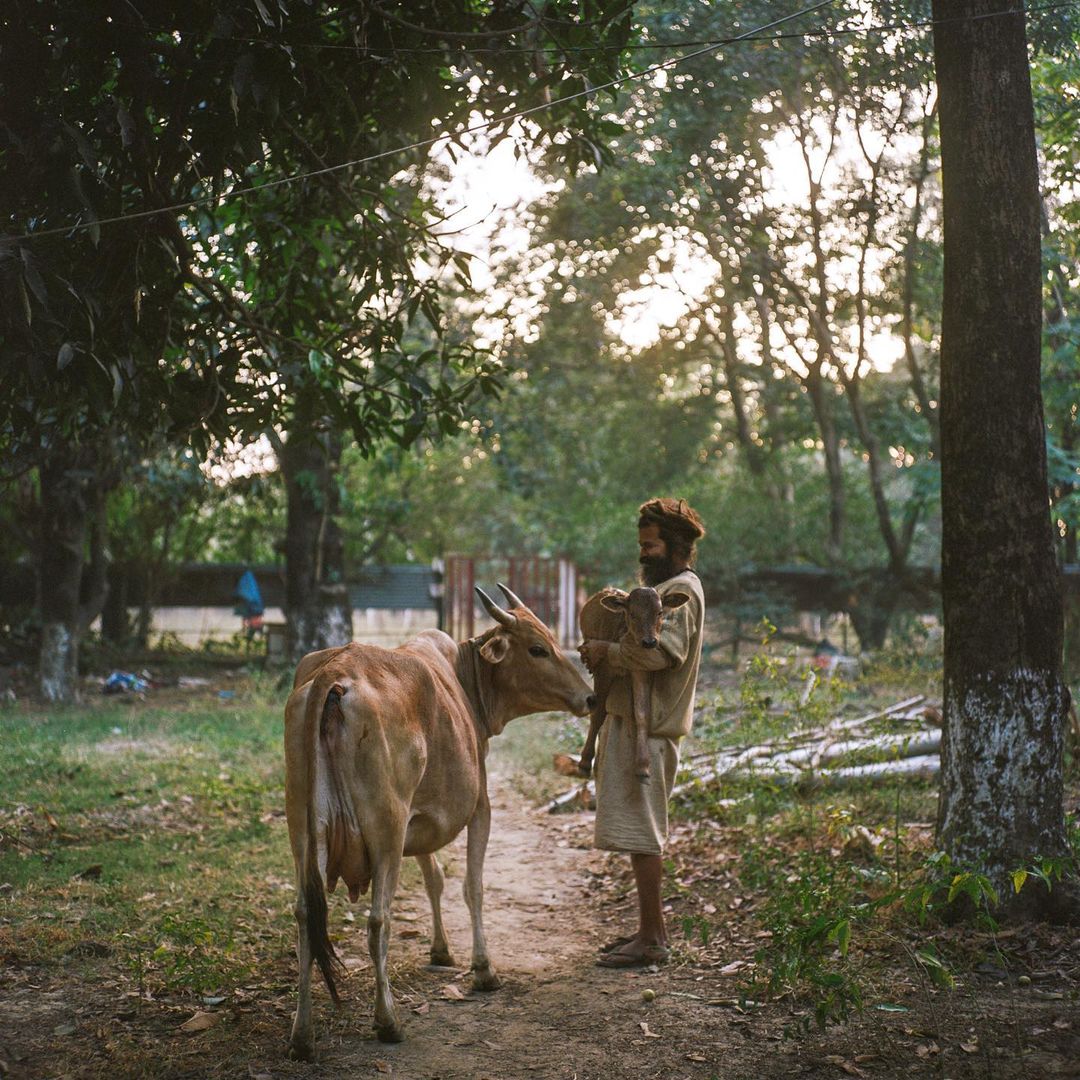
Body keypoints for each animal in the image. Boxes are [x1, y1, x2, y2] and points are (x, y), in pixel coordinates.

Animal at [282, 587, 596, 1058]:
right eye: (538, 648)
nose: (590, 698)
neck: (464, 680)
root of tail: (334, 676)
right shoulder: (479, 807)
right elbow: (472, 887)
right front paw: (483, 969)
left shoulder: (419, 822)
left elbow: (435, 880)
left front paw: (441, 950)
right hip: (386, 828)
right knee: (379, 920)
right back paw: (388, 1020)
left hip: (304, 832)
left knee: (306, 916)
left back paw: (302, 1035)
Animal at [578, 587, 686, 781]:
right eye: (632, 614)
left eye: (659, 612)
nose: (649, 641)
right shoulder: (603, 669)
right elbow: (597, 713)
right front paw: (584, 763)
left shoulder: (641, 669)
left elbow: (642, 713)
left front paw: (643, 766)